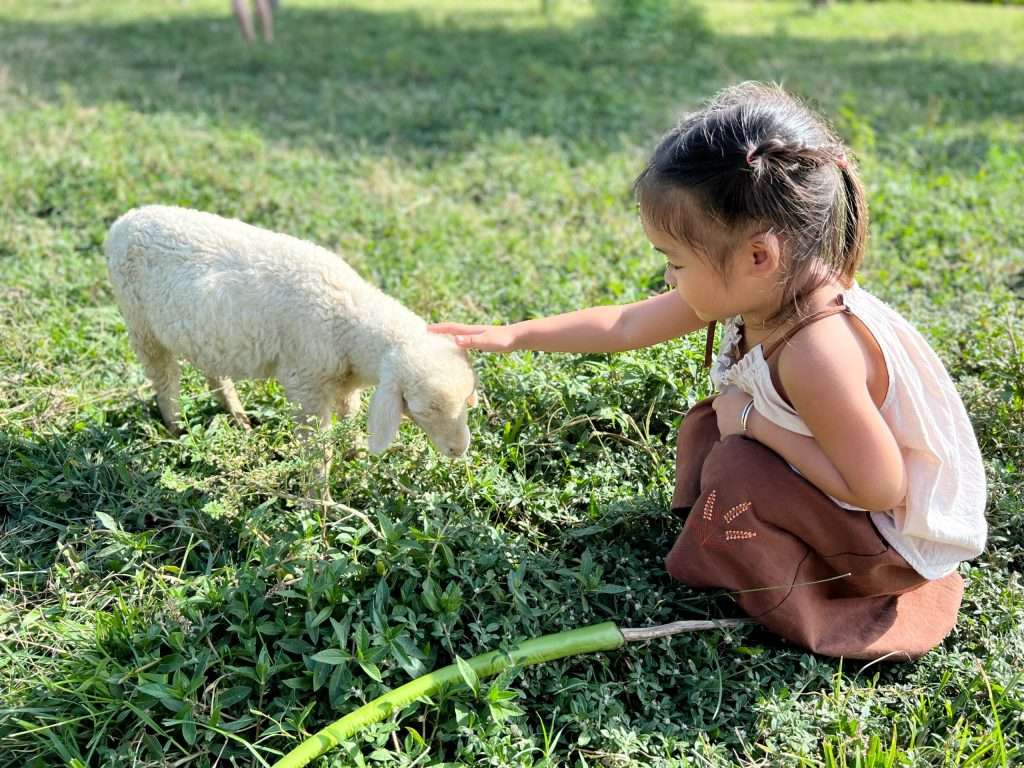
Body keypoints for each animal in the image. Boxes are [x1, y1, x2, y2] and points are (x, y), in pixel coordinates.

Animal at [103, 204, 475, 462]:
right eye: (424, 410)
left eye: (468, 402)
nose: (459, 450)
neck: (347, 315)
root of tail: (123, 221)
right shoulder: (305, 383)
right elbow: (318, 451)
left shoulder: (343, 383)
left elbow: (350, 416)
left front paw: (356, 455)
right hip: (140, 323)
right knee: (165, 380)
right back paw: (176, 429)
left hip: (207, 332)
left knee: (214, 374)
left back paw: (240, 420)